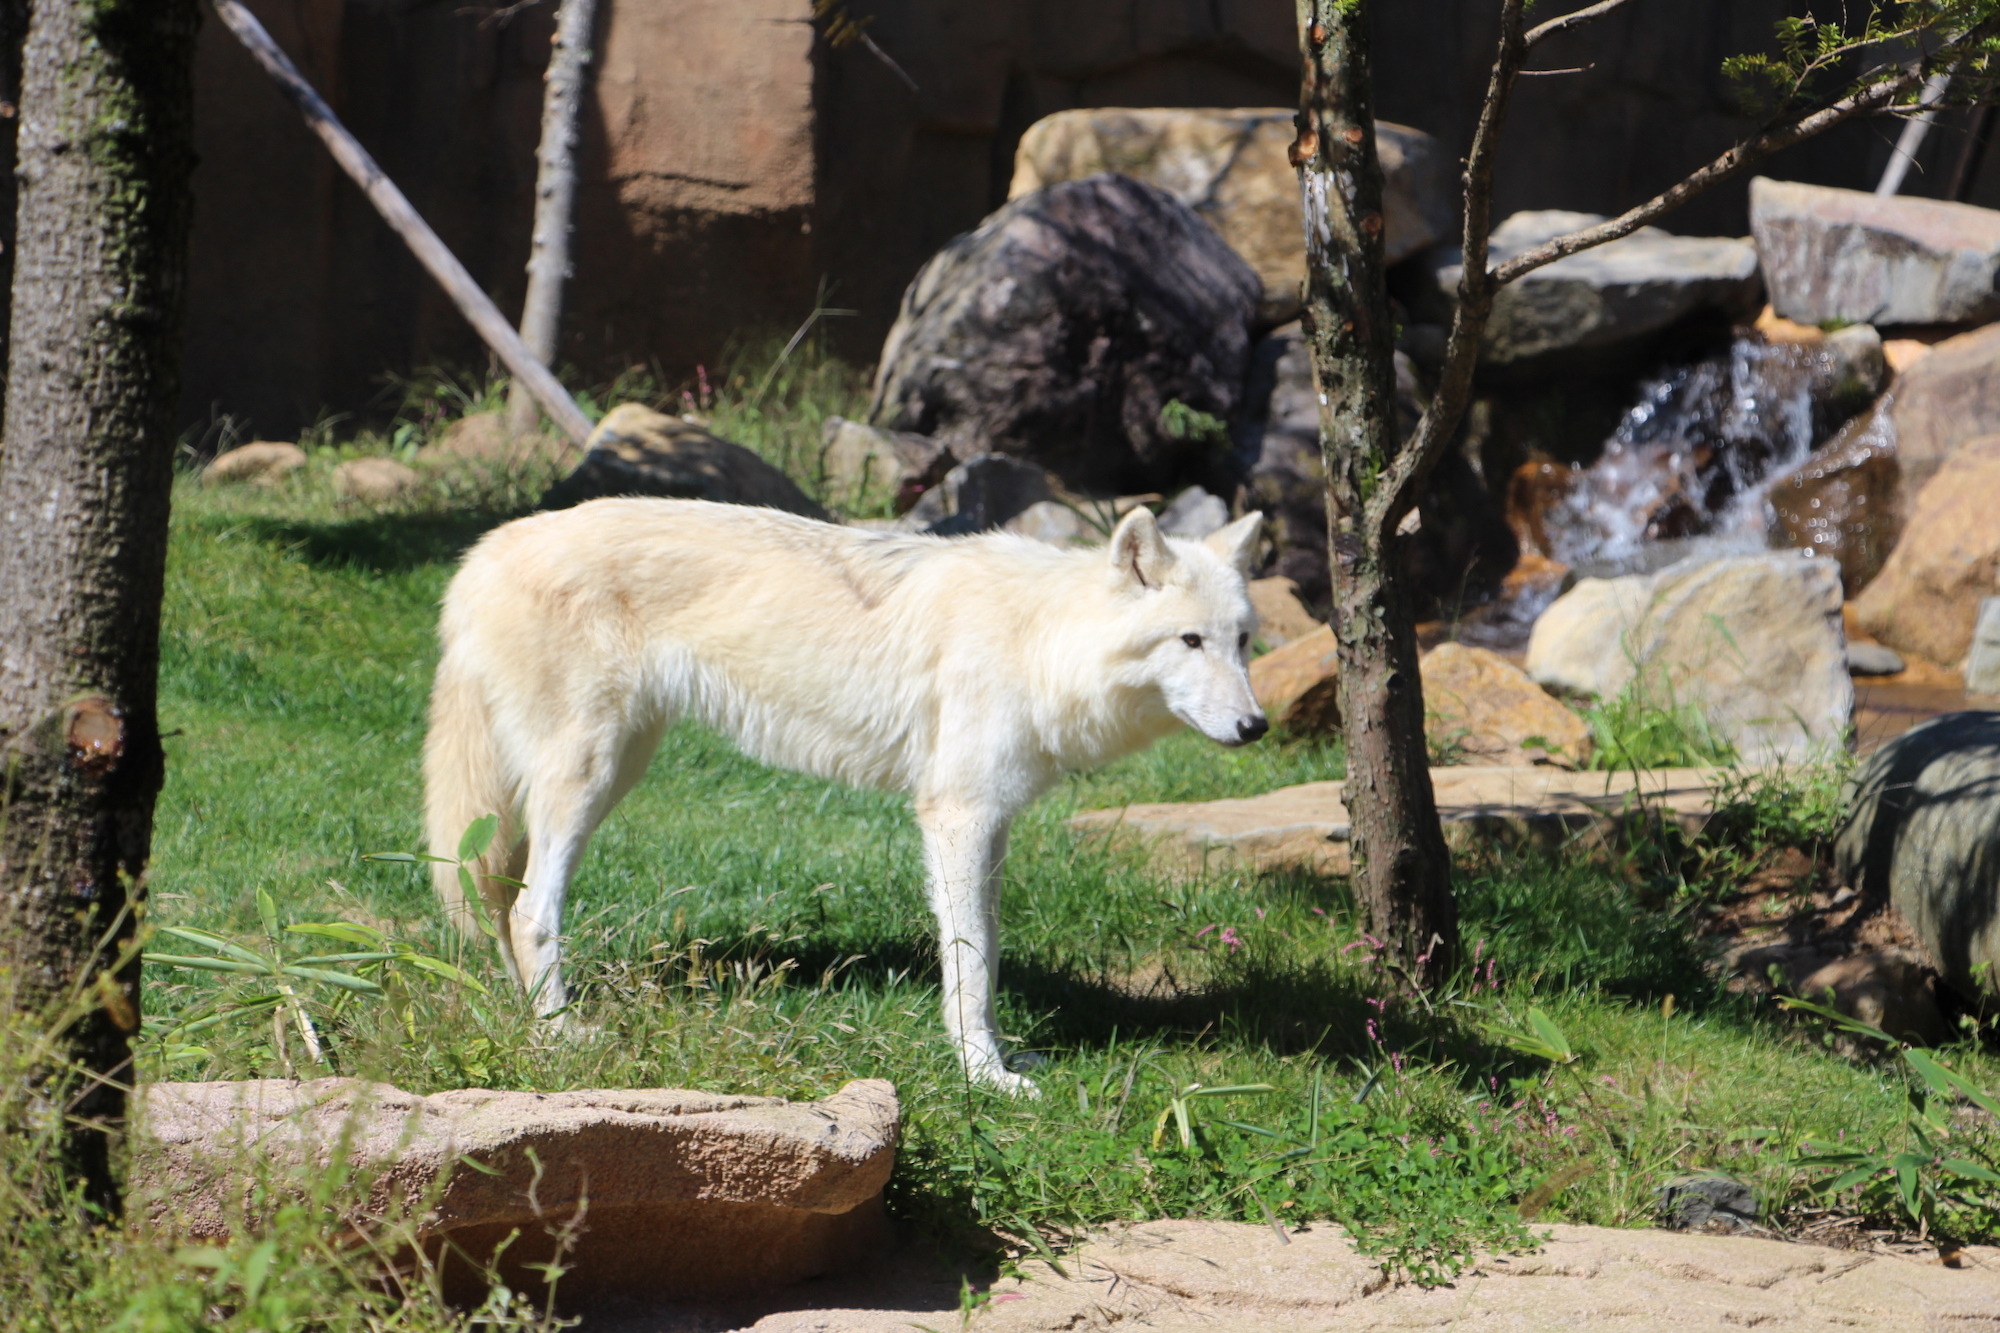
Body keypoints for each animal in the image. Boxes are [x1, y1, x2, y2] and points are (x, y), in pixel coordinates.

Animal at [426, 496, 1264, 1088]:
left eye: (1244, 640)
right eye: (1189, 641)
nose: (1257, 725)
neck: (1041, 640)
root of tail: (481, 554)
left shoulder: (990, 821)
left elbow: (987, 954)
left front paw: (1003, 1057)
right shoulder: (956, 815)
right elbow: (970, 960)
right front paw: (983, 1076)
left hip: (613, 768)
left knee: (503, 898)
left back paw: (526, 1020)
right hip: (588, 777)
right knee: (532, 911)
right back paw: (559, 1037)